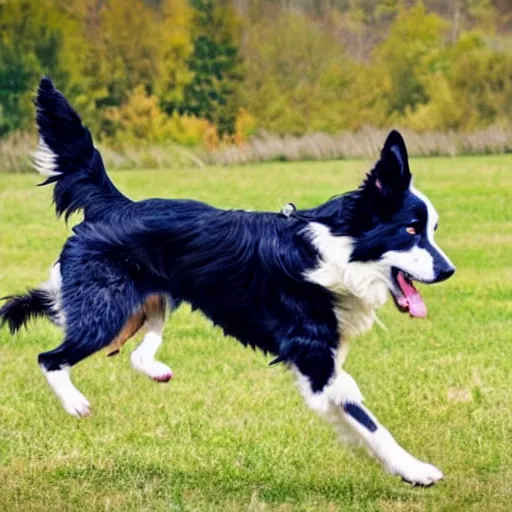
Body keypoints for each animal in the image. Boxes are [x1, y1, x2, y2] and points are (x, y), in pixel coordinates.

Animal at [2, 78, 454, 486]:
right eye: (411, 230)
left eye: (431, 229)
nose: (449, 271)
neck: (337, 249)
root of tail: (116, 205)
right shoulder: (315, 357)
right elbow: (368, 419)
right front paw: (416, 470)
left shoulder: (324, 362)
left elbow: (353, 418)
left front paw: (393, 465)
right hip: (106, 312)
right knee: (50, 357)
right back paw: (75, 402)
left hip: (148, 303)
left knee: (131, 351)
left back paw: (156, 370)